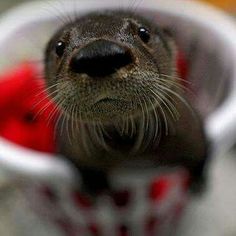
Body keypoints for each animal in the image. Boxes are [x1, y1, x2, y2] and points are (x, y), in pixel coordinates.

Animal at [43, 10, 208, 193]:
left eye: (144, 33)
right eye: (59, 46)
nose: (100, 54)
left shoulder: (192, 130)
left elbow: (200, 153)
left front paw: (197, 181)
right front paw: (96, 185)